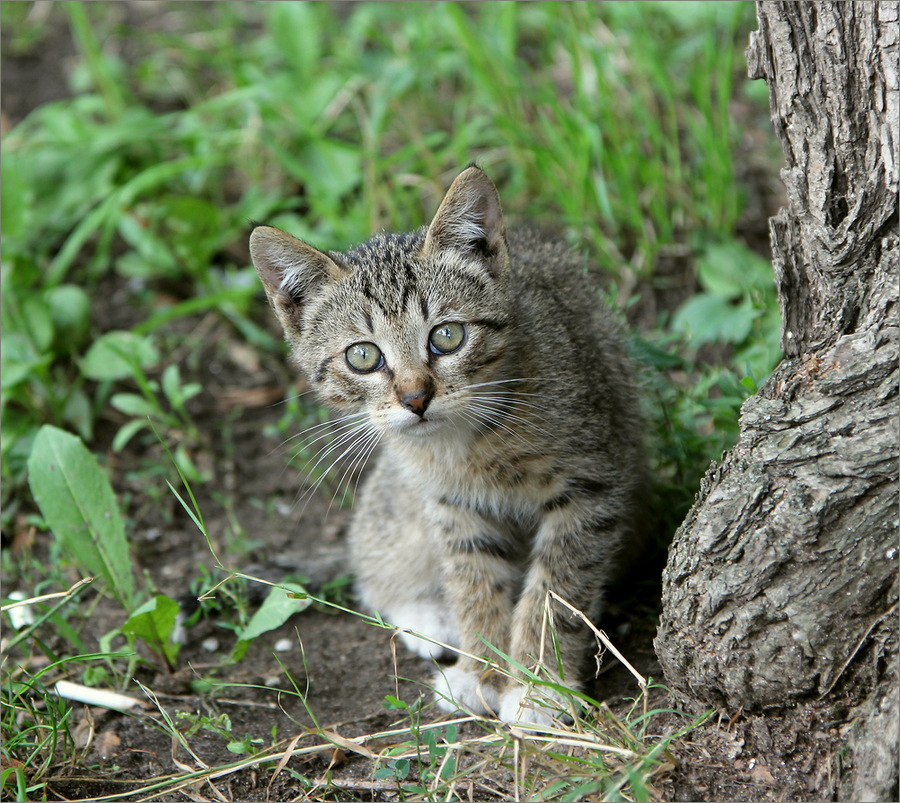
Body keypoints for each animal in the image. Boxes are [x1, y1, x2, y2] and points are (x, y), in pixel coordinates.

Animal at [250, 166, 648, 724]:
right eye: (363, 356)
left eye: (447, 336)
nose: (415, 398)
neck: (470, 441)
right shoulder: (451, 503)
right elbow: (473, 581)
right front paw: (482, 672)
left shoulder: (590, 487)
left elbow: (556, 591)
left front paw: (540, 686)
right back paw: (426, 614)